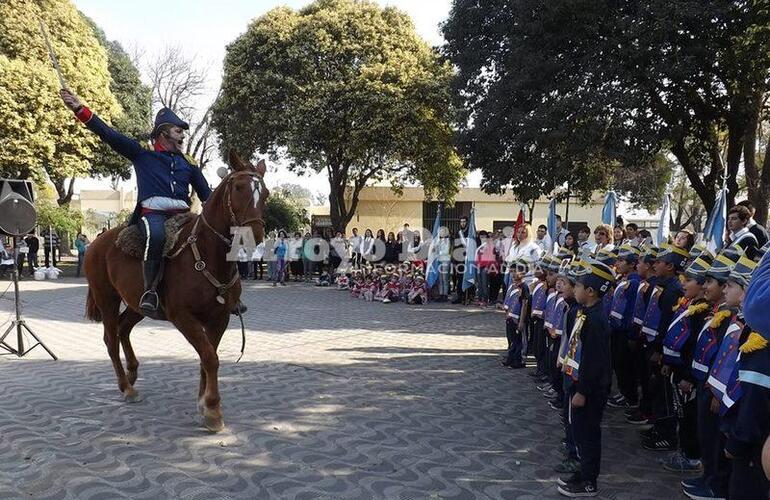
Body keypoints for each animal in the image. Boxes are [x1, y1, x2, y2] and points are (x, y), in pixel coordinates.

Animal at [83, 150, 268, 432]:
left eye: (265, 193)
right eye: (238, 187)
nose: (252, 235)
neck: (208, 254)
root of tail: (97, 242)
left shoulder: (219, 319)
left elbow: (208, 356)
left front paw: (203, 403)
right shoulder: (183, 317)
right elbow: (210, 357)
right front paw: (213, 410)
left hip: (138, 305)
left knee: (124, 329)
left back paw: (132, 372)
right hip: (107, 300)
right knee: (111, 339)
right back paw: (126, 387)